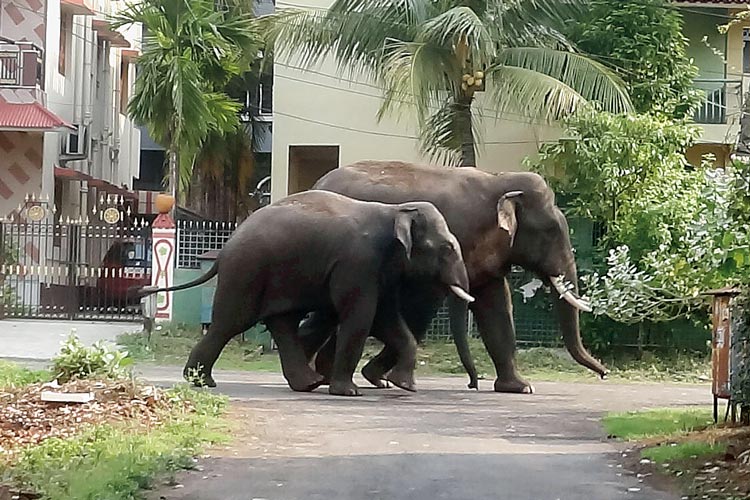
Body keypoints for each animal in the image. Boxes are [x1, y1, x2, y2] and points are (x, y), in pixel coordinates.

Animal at [138, 190, 474, 396]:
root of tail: (223, 250)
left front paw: (404, 386)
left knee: (282, 322)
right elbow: (360, 316)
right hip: (246, 272)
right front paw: (348, 392)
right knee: (230, 323)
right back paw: (202, 382)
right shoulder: (357, 262)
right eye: (446, 248)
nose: (473, 386)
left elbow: (386, 319)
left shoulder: (379, 271)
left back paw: (307, 384)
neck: (396, 210)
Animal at [298, 160, 607, 394]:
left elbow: (497, 308)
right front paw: (381, 377)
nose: (604, 373)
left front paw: (519, 388)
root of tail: (315, 184)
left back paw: (323, 374)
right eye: (550, 231)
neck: (500, 180)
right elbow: (423, 308)